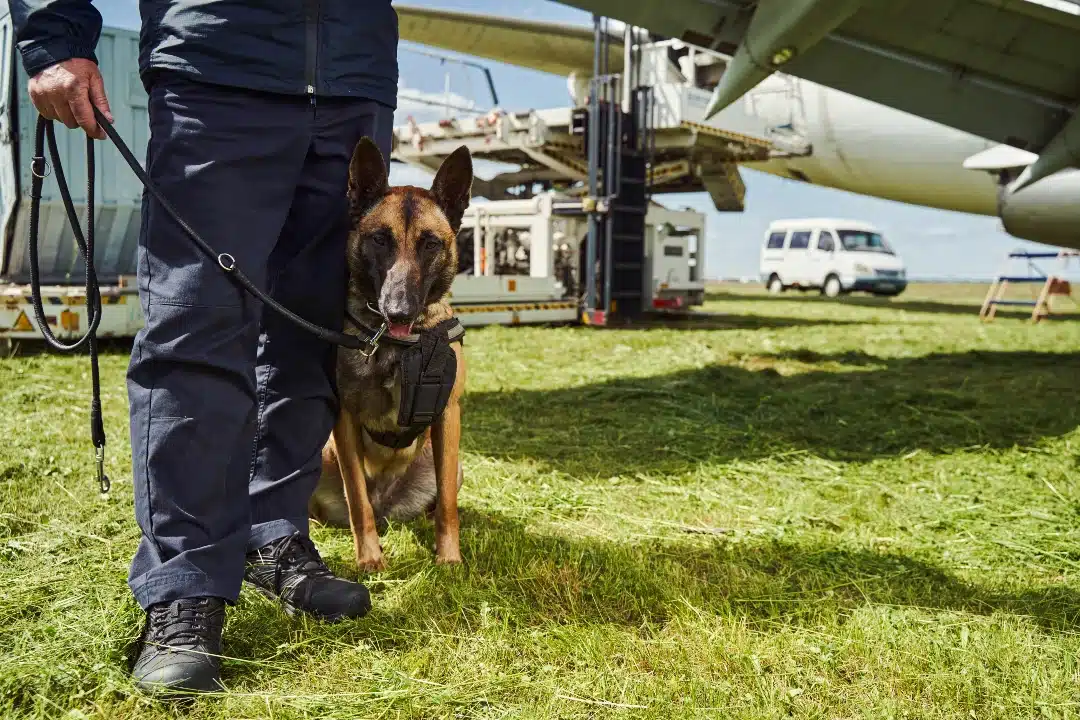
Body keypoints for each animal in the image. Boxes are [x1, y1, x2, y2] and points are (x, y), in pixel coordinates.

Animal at [306, 138, 470, 569]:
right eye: (380, 239)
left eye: (430, 243)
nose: (399, 312)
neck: (396, 347)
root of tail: (388, 508)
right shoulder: (344, 419)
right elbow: (357, 499)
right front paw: (369, 558)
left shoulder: (448, 415)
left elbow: (448, 506)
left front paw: (449, 558)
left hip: (452, 464)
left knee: (442, 497)